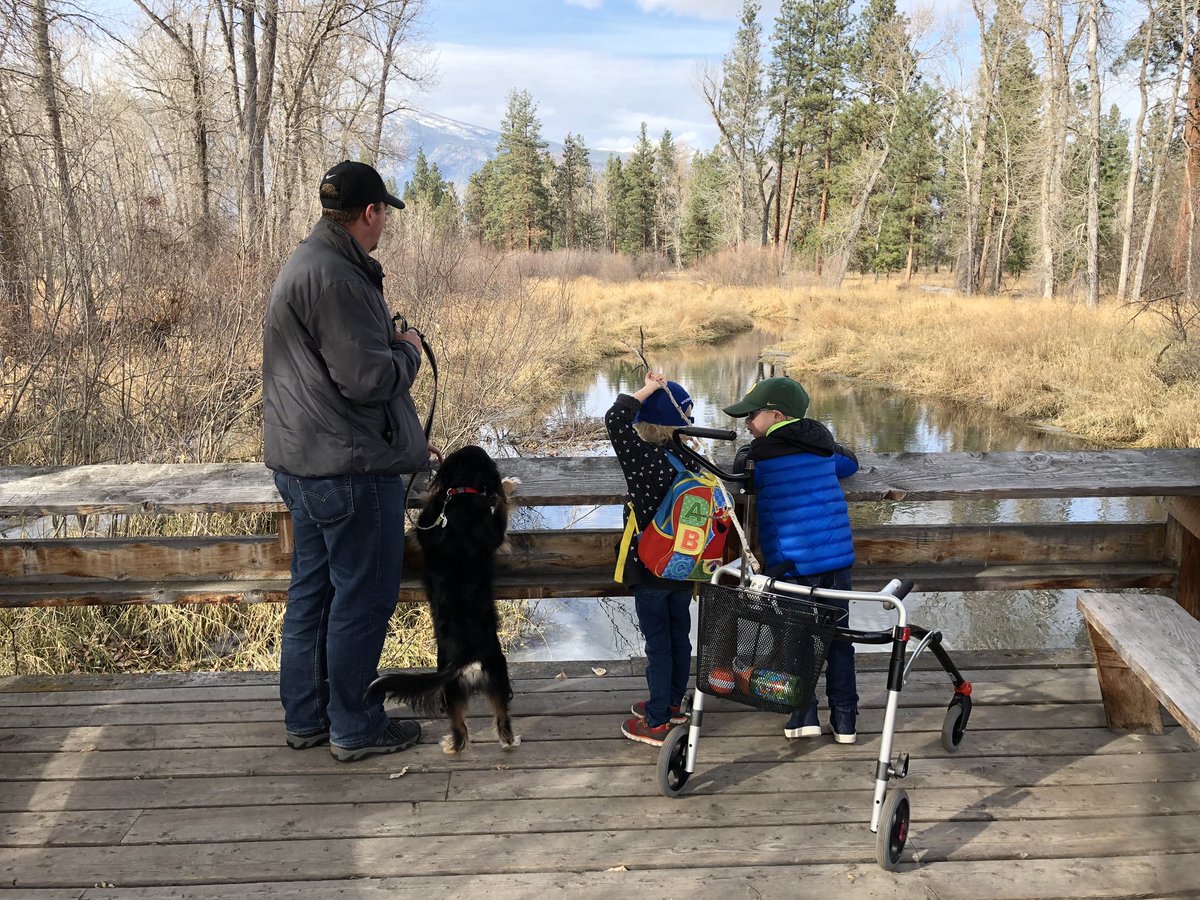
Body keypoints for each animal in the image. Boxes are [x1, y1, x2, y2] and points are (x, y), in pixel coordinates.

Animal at [362, 448, 518, 753]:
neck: (461, 492)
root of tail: (466, 660)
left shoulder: (428, 523)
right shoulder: (489, 530)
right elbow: (501, 508)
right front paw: (507, 486)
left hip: (469, 685)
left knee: (474, 726)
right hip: (490, 676)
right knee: (488, 723)